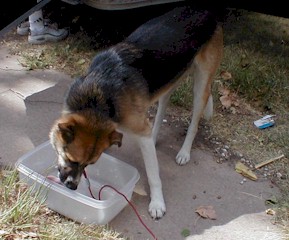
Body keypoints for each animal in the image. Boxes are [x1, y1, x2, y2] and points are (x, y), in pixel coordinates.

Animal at [49, 5, 223, 219]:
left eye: (88, 164)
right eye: (72, 160)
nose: (72, 187)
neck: (98, 98)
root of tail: (205, 9)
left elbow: (154, 175)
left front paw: (157, 203)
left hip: (200, 87)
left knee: (194, 123)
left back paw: (184, 152)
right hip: (168, 84)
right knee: (159, 115)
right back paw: (154, 138)